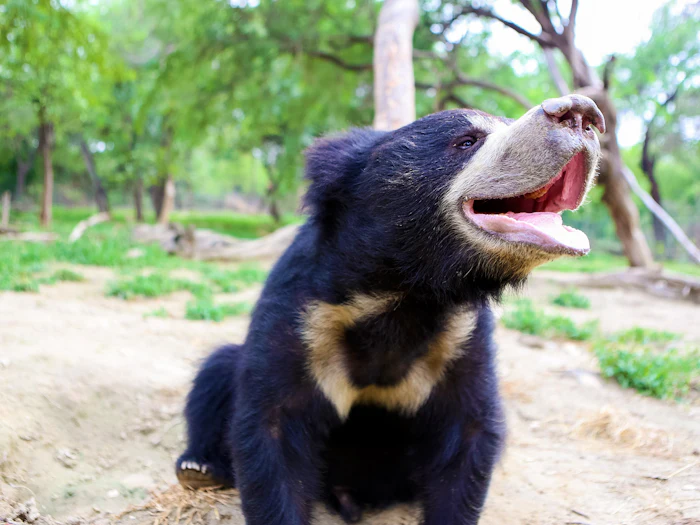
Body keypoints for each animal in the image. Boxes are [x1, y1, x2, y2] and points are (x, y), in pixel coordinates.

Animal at [175, 94, 605, 525]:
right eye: (467, 141)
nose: (581, 113)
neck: (405, 291)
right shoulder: (302, 313)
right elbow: (272, 426)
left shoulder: (461, 335)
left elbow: (468, 432)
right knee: (217, 368)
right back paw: (198, 467)